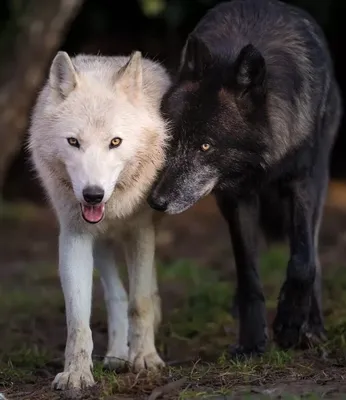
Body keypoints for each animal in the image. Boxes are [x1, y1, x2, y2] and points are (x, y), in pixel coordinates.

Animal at [28, 50, 170, 390]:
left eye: (115, 142)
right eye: (73, 142)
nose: (93, 195)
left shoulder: (141, 231)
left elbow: (140, 302)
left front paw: (146, 359)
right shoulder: (75, 236)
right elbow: (78, 320)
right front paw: (77, 374)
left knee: (142, 291)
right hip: (101, 244)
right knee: (115, 294)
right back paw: (117, 355)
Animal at [147, 0, 342, 356]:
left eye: (205, 146)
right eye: (170, 139)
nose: (156, 201)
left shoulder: (302, 183)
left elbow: (303, 261)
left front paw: (291, 323)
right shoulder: (235, 198)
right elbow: (248, 273)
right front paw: (252, 342)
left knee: (314, 254)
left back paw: (313, 326)